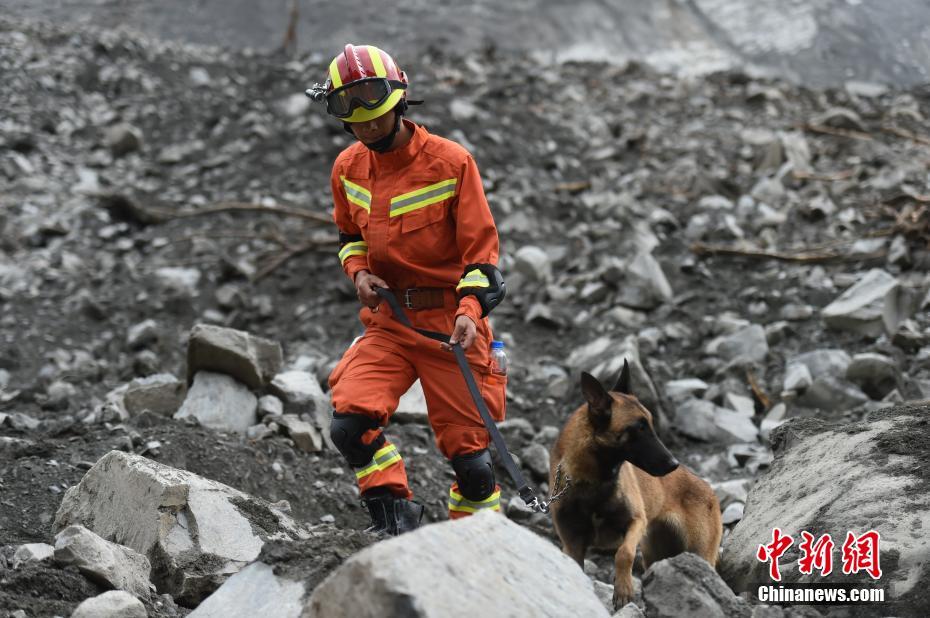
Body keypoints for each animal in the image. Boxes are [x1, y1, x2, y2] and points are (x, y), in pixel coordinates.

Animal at [548, 360, 720, 608]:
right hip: (659, 555)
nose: (674, 464)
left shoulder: (636, 521)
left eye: (650, 423)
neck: (592, 483)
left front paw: (623, 589)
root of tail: (709, 490)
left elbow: (624, 553)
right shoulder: (572, 545)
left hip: (699, 554)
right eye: (638, 428)